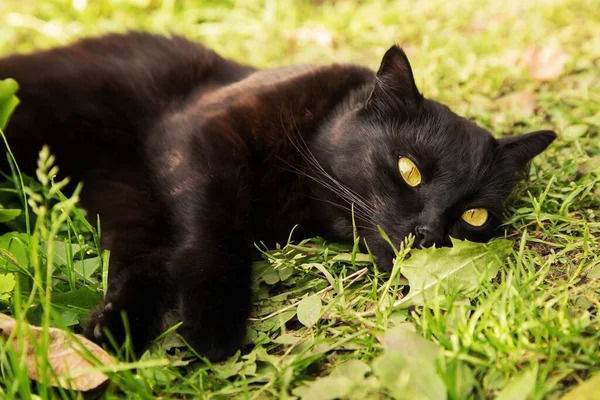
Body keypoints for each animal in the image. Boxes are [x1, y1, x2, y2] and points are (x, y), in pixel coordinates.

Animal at [0, 32, 556, 360]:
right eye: (409, 170)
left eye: (474, 216)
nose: (429, 232)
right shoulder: (198, 134)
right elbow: (216, 222)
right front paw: (213, 320)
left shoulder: (128, 193)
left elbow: (145, 258)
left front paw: (116, 327)